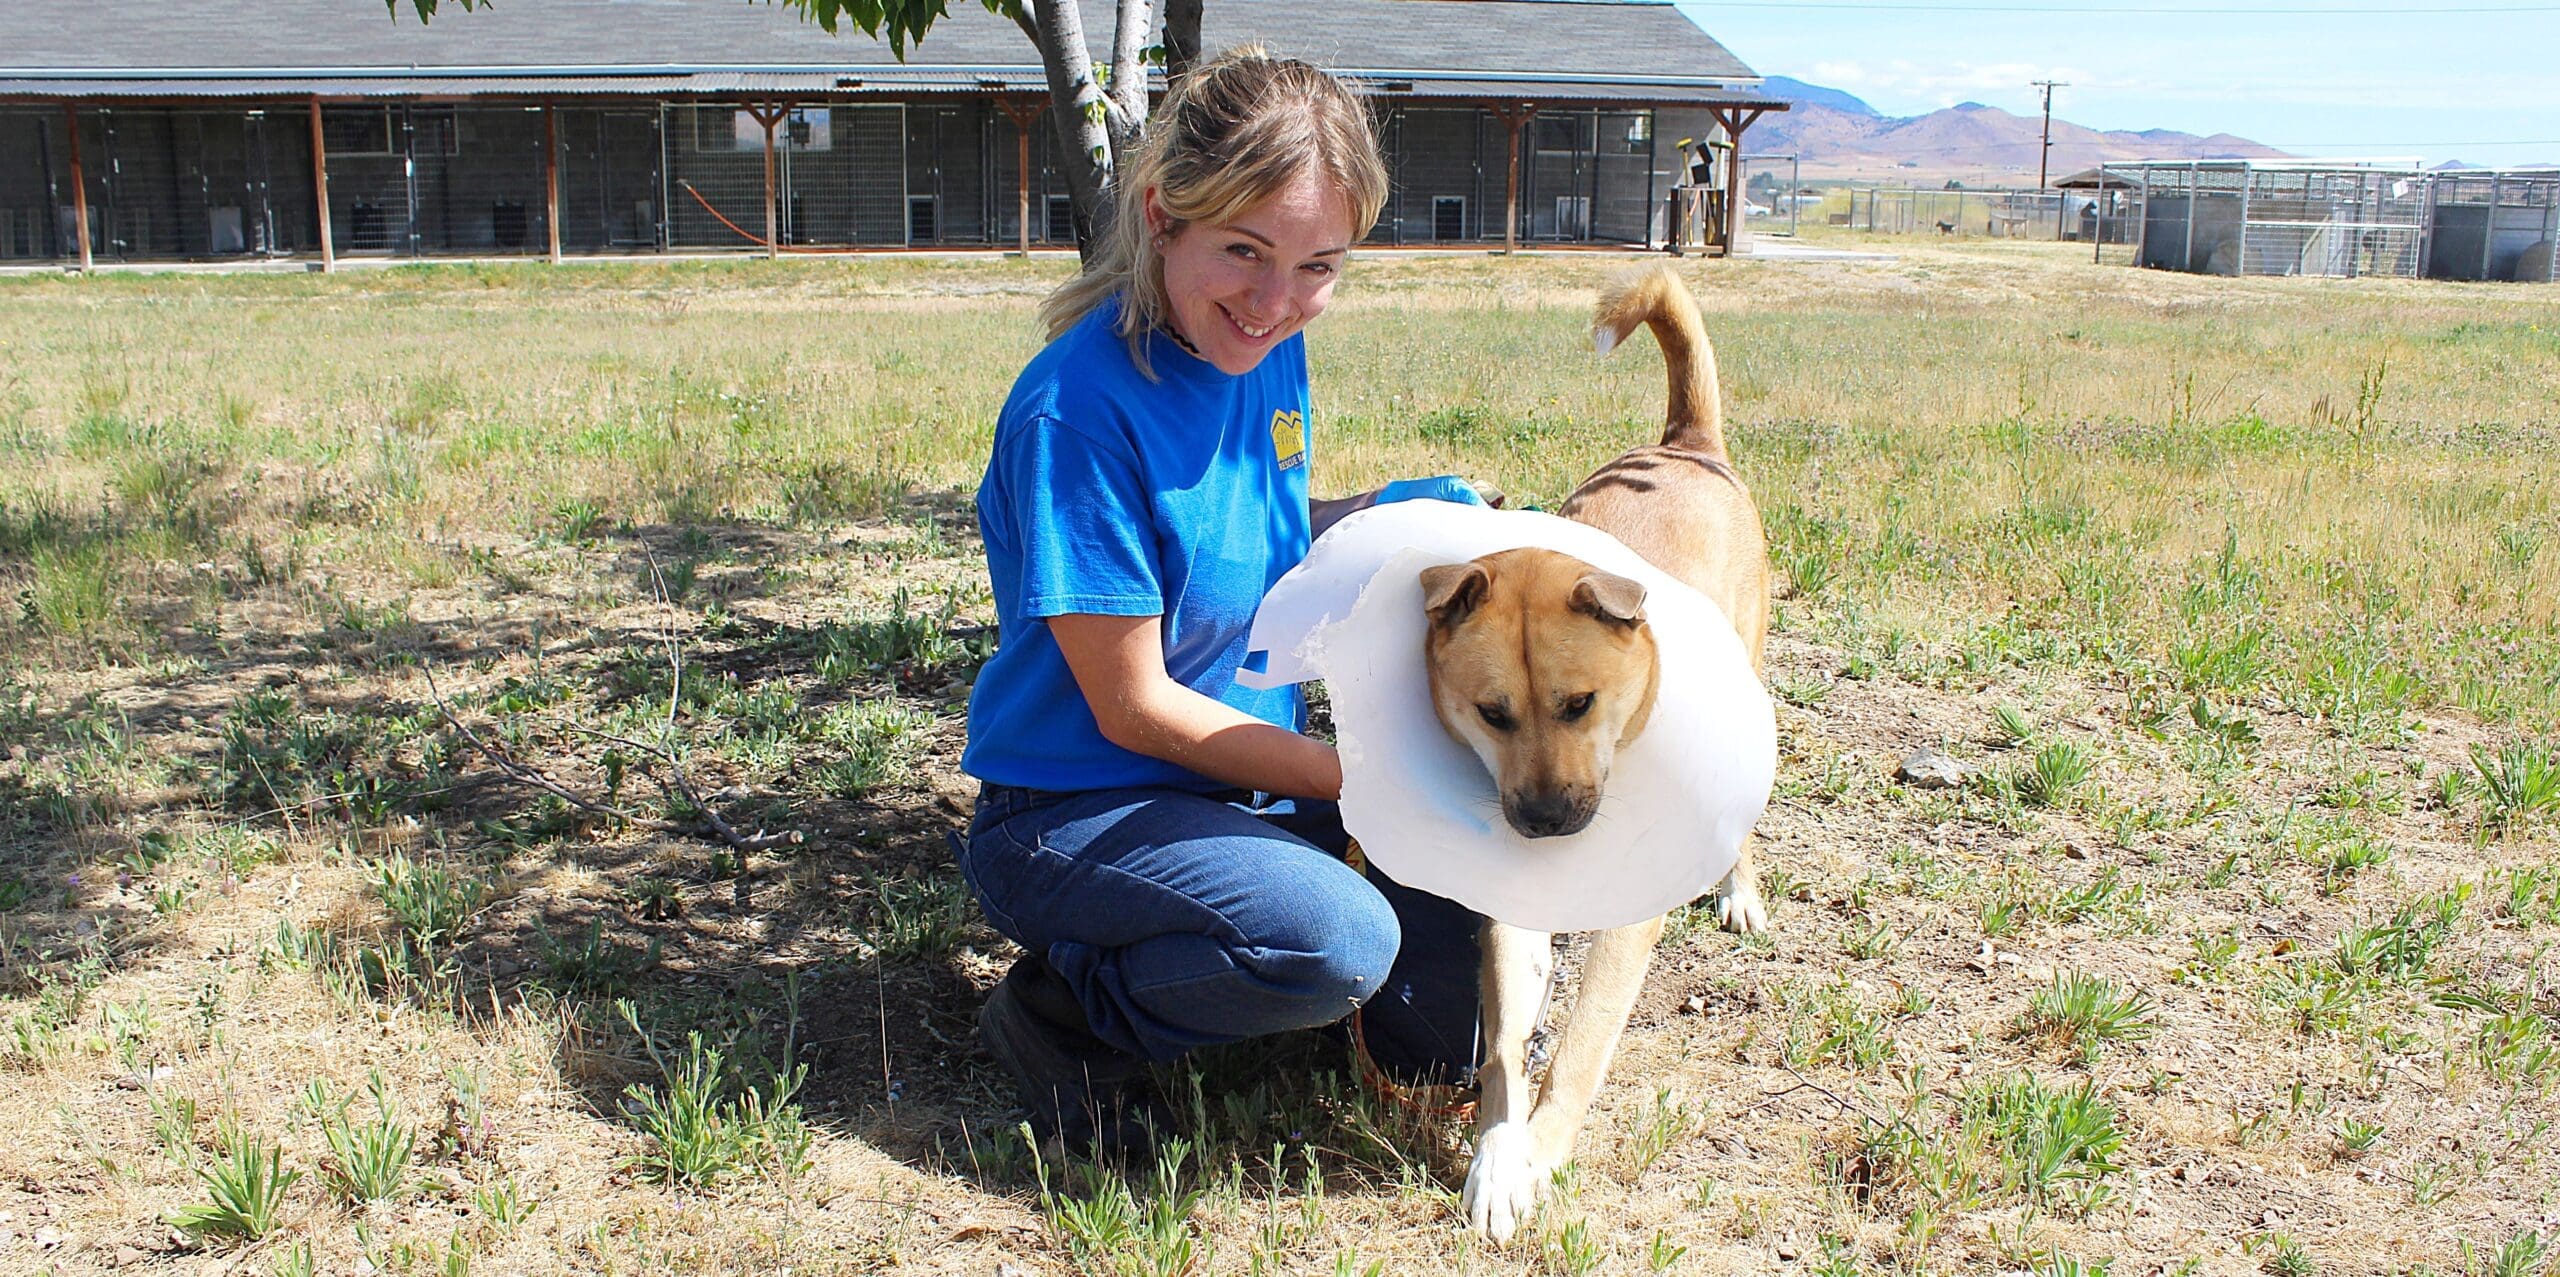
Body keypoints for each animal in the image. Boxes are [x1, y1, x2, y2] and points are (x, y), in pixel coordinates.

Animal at [1413, 267, 1771, 1238]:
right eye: (1490, 713)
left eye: (1580, 703)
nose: (1542, 821)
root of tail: (1686, 445)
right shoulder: (1509, 909)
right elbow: (1505, 1044)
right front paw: (1498, 1157)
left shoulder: (1624, 923)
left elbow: (1579, 1044)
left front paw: (1536, 1154)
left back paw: (1738, 889)